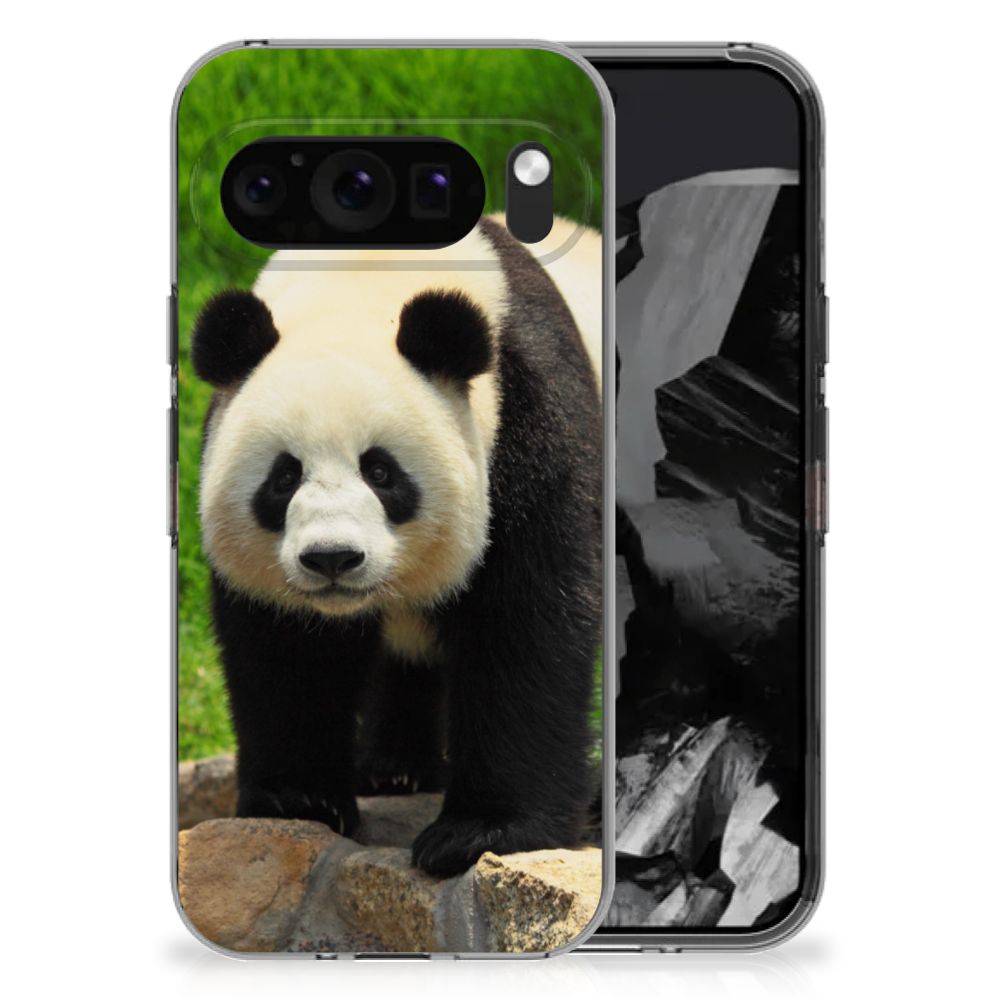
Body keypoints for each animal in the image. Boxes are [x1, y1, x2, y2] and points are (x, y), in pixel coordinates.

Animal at [191, 217, 603, 877]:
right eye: (284, 477)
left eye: (381, 472)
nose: (332, 558)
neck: (365, 274)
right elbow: (286, 648)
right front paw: (298, 799)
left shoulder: (529, 419)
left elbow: (526, 623)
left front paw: (480, 832)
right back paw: (394, 768)